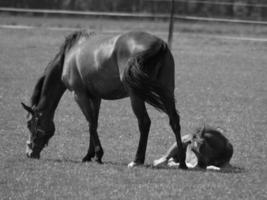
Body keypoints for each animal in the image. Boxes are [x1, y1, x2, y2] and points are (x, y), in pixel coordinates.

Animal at [21, 30, 186, 169]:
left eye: (29, 124)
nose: (29, 154)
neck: (70, 55)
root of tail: (159, 44)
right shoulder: (95, 97)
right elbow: (94, 123)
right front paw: (89, 155)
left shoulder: (79, 95)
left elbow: (91, 123)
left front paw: (98, 155)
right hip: (167, 91)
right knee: (174, 121)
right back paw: (183, 163)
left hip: (136, 96)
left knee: (144, 122)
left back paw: (137, 160)